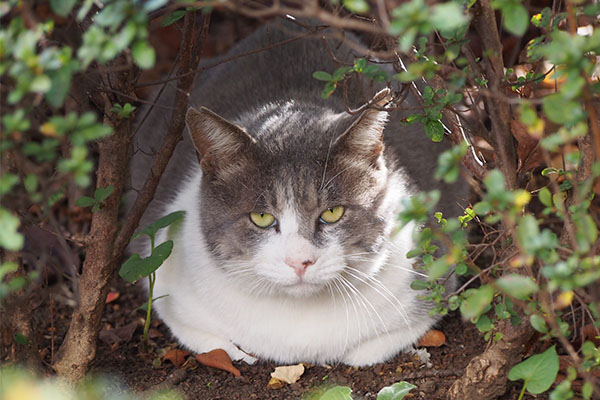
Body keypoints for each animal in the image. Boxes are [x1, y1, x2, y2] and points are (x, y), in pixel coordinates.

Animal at [129, 18, 468, 366]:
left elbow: (369, 350)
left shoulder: (434, 279)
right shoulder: (169, 284)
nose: (299, 262)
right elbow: (217, 345)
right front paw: (240, 354)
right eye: (261, 217)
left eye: (332, 212)